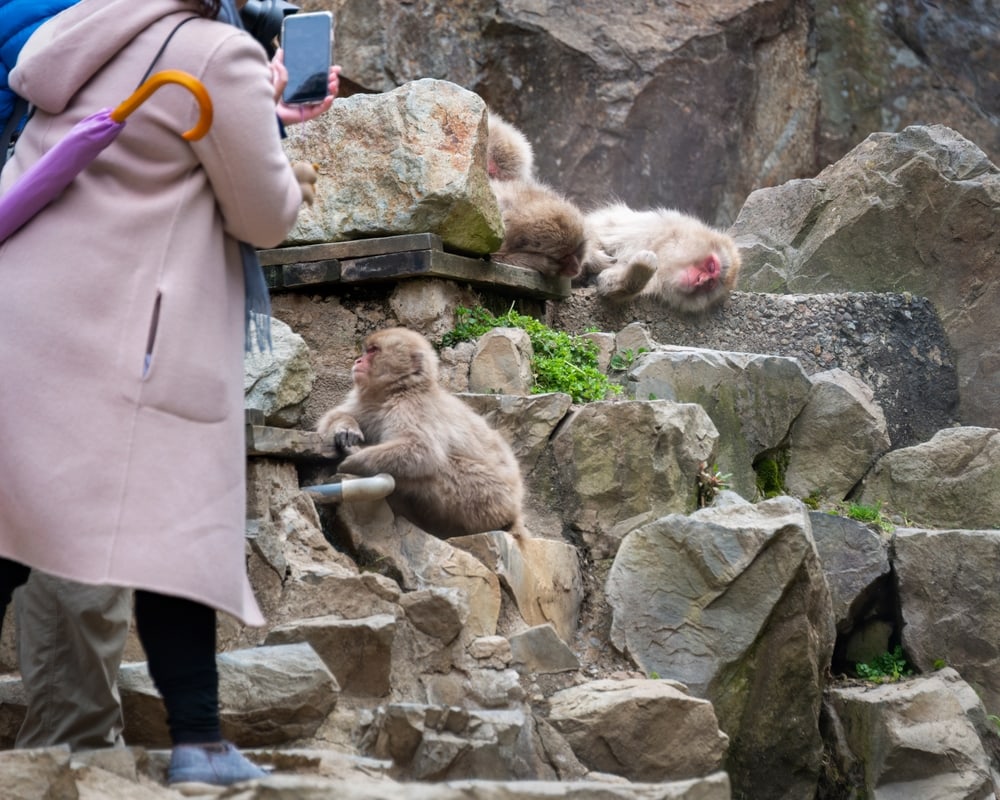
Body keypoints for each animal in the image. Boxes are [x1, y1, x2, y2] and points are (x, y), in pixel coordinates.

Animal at [316, 327, 527, 540]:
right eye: (366, 350)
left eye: (373, 350)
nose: (358, 361)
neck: (398, 390)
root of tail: (516, 509)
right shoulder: (368, 402)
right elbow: (333, 416)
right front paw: (347, 429)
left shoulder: (412, 406)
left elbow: (421, 450)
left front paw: (353, 458)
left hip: (489, 499)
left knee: (439, 465)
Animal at [580, 203, 742, 313]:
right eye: (711, 266)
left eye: (710, 284)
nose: (700, 280)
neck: (662, 251)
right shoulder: (650, 227)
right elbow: (598, 228)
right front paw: (594, 257)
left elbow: (607, 284)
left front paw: (639, 271)